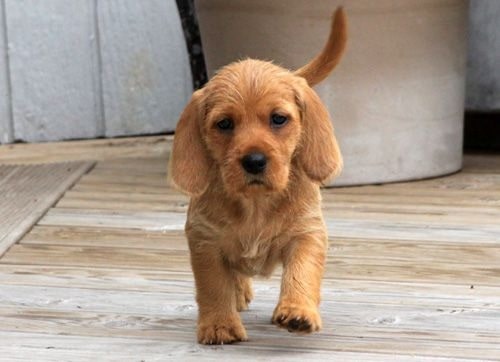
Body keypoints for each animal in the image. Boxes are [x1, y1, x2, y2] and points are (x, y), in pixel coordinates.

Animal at [170, 7, 346, 344]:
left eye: (278, 119)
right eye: (224, 124)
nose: (254, 161)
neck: (255, 204)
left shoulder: (307, 234)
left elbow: (302, 272)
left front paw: (298, 310)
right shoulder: (205, 241)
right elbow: (213, 286)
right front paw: (219, 324)